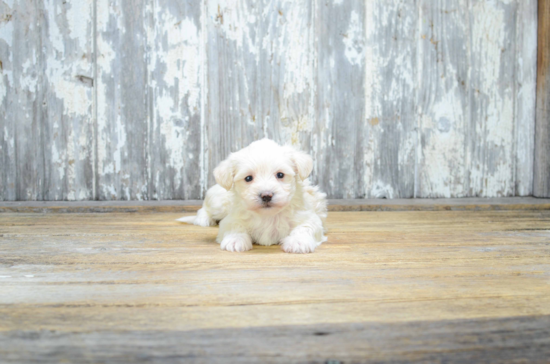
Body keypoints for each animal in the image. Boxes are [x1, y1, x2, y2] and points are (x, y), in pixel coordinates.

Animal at [178, 138, 328, 255]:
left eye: (280, 175)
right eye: (248, 178)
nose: (266, 195)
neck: (268, 215)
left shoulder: (309, 217)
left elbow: (306, 227)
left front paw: (298, 241)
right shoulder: (231, 219)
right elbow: (234, 226)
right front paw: (235, 240)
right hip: (219, 202)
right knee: (204, 208)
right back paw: (204, 219)